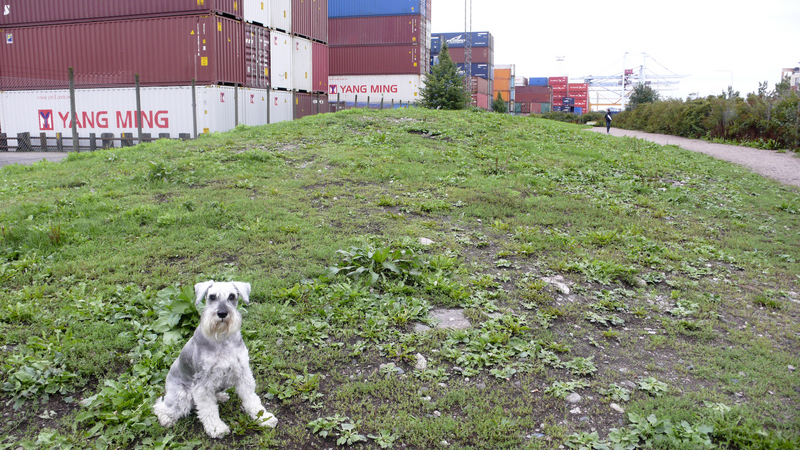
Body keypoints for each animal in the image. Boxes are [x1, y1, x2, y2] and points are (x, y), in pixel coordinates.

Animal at [153, 280, 278, 438]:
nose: (222, 313)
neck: (222, 339)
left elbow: (252, 399)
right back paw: (166, 419)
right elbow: (208, 409)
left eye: (232, 296)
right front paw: (216, 428)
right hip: (181, 397)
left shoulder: (243, 373)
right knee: (160, 406)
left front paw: (264, 418)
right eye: (212, 297)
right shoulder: (202, 383)